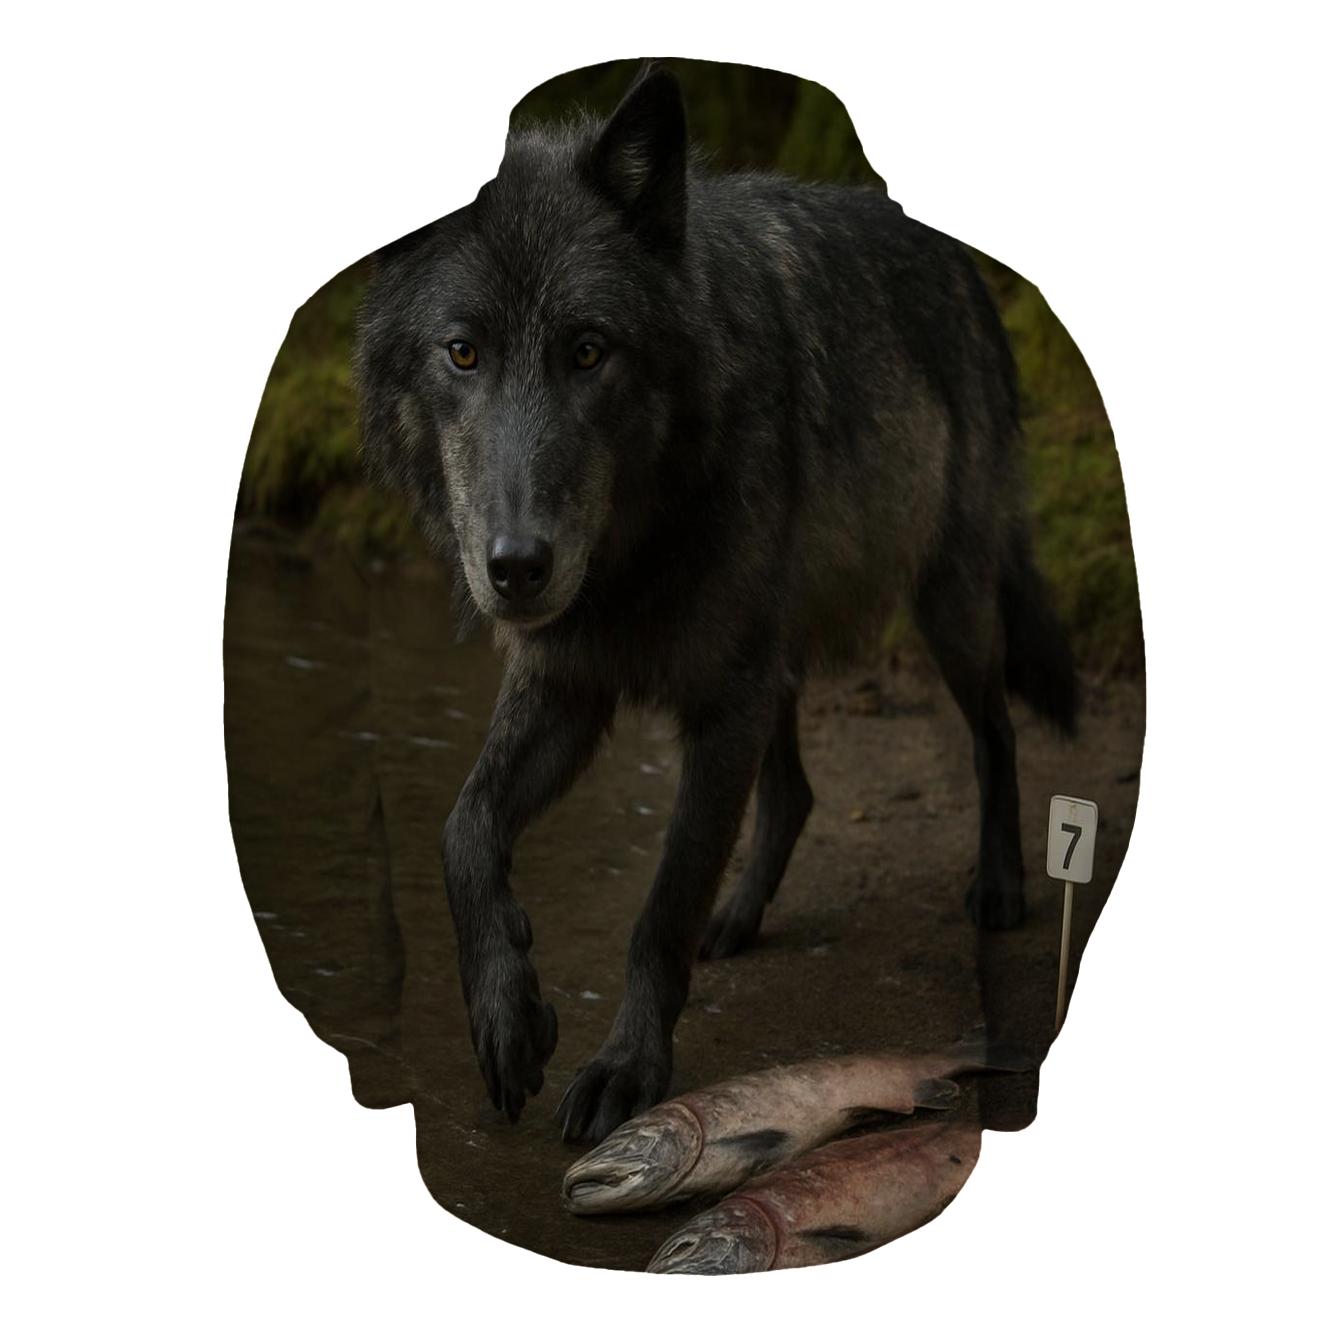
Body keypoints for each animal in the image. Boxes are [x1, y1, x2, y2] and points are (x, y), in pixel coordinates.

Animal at [354, 63, 1078, 1144]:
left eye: (587, 351)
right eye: (462, 352)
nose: (516, 566)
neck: (636, 547)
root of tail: (953, 253)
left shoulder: (718, 700)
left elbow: (659, 908)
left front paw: (627, 1067)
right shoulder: (571, 681)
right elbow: (462, 828)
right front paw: (507, 1018)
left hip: (941, 604)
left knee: (992, 732)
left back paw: (997, 884)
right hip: (775, 651)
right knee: (797, 790)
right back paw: (738, 915)